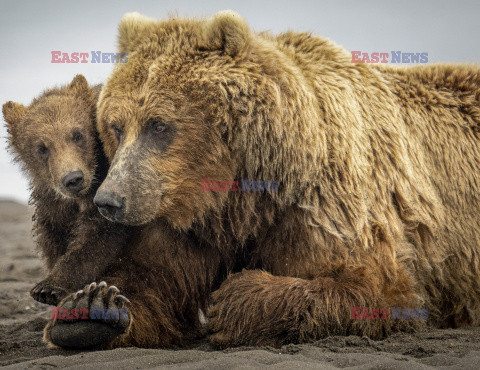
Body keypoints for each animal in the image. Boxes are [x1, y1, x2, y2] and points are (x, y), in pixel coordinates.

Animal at [46, 10, 480, 348]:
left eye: (159, 124)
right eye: (116, 126)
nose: (109, 200)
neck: (240, 197)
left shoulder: (322, 203)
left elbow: (375, 288)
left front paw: (231, 302)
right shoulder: (182, 216)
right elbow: (155, 283)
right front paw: (92, 306)